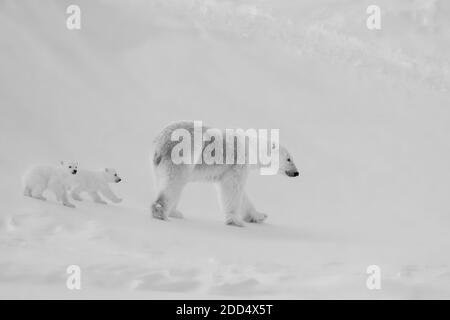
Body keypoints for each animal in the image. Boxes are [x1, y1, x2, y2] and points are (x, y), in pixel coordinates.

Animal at [150, 120, 298, 228]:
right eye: (289, 159)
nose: (297, 172)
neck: (251, 148)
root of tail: (160, 143)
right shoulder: (237, 164)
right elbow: (232, 188)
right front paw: (236, 221)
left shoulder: (225, 172)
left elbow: (241, 194)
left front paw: (259, 216)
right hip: (181, 155)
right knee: (173, 183)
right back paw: (161, 212)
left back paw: (175, 212)